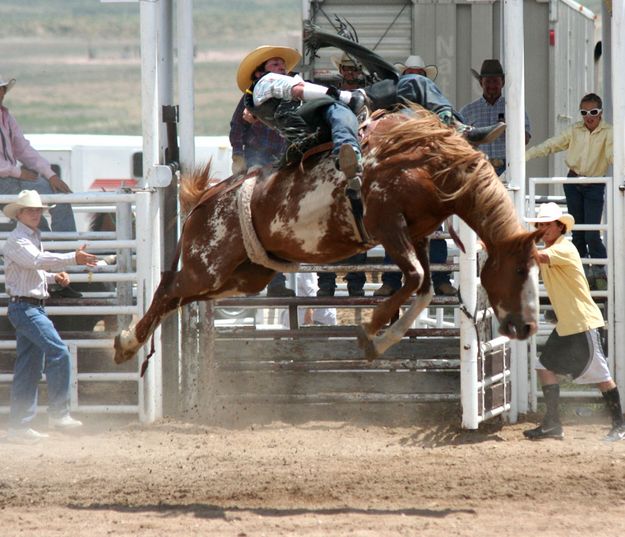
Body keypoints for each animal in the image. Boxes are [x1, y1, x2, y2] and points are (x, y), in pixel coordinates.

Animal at [113, 109, 540, 366]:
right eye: (520, 270)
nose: (527, 328)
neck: (426, 163)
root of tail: (205, 198)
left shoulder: (415, 234)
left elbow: (425, 288)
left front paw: (376, 341)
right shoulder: (388, 225)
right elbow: (417, 278)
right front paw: (372, 327)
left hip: (244, 275)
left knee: (178, 297)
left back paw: (130, 341)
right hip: (208, 264)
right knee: (168, 288)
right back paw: (126, 343)